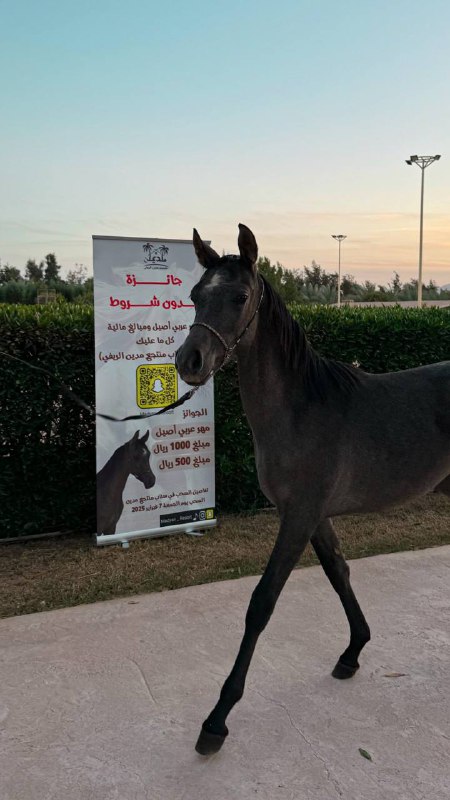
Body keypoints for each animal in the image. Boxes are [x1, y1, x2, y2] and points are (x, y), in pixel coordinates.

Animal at [177, 222, 450, 752]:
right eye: (196, 294)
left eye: (240, 296)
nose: (189, 360)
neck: (301, 409)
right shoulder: (313, 516)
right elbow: (339, 572)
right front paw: (353, 651)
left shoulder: (299, 516)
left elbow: (262, 603)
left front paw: (217, 718)